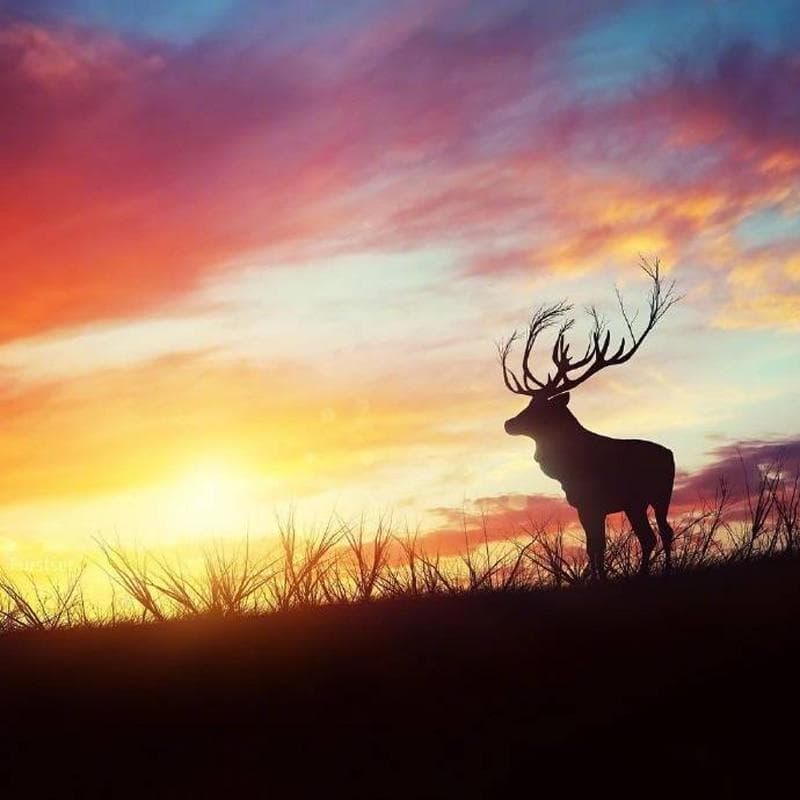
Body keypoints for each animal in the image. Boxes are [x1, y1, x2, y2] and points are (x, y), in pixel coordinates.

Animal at [499, 258, 680, 579]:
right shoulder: (591, 506)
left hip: (649, 496)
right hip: (649, 499)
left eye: (540, 409)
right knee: (661, 533)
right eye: (529, 403)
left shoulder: (590, 503)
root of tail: (670, 455)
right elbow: (593, 547)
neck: (566, 468)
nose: (509, 423)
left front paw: (598, 579)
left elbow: (595, 547)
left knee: (654, 535)